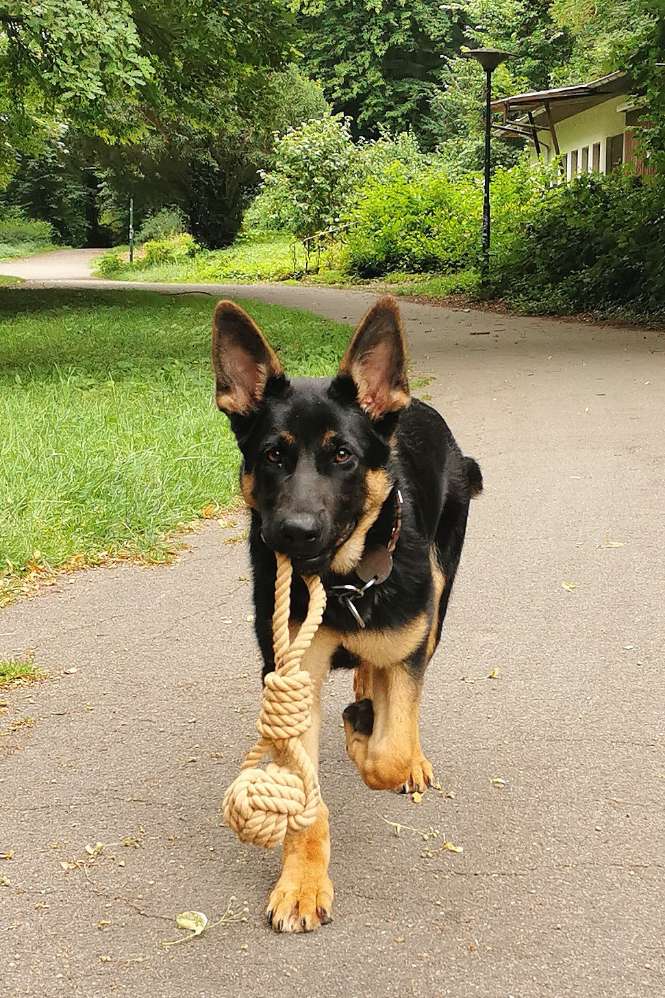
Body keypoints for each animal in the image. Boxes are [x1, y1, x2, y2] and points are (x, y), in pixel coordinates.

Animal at [213, 296, 482, 936]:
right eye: (273, 454)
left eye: (343, 456)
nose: (294, 533)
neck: (343, 585)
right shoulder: (293, 682)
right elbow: (306, 804)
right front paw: (302, 883)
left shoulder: (407, 649)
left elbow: (390, 750)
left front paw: (369, 735)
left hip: (439, 600)